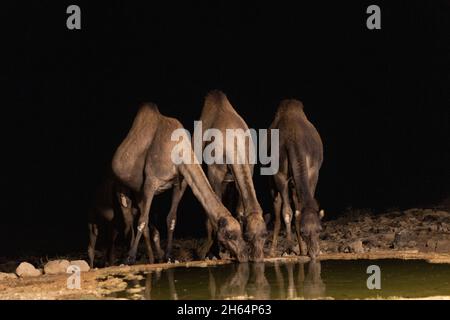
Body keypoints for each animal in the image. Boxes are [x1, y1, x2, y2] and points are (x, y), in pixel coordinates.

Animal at [111, 104, 248, 264]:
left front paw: (169, 256)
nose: (244, 254)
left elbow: (171, 219)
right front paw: (130, 258)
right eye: (230, 235)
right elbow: (142, 221)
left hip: (139, 192)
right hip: (120, 185)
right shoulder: (151, 182)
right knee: (129, 220)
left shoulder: (179, 183)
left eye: (241, 232)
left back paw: (153, 258)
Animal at [197, 91, 268, 262]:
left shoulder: (246, 169)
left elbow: (239, 210)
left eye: (265, 235)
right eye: (247, 236)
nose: (257, 257)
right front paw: (213, 252)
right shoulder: (214, 173)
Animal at [268, 99, 324, 260]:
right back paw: (273, 250)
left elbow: (299, 208)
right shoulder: (280, 175)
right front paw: (289, 248)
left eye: (319, 229)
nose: (314, 252)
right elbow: (287, 212)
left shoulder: (313, 171)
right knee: (277, 204)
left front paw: (302, 250)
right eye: (304, 231)